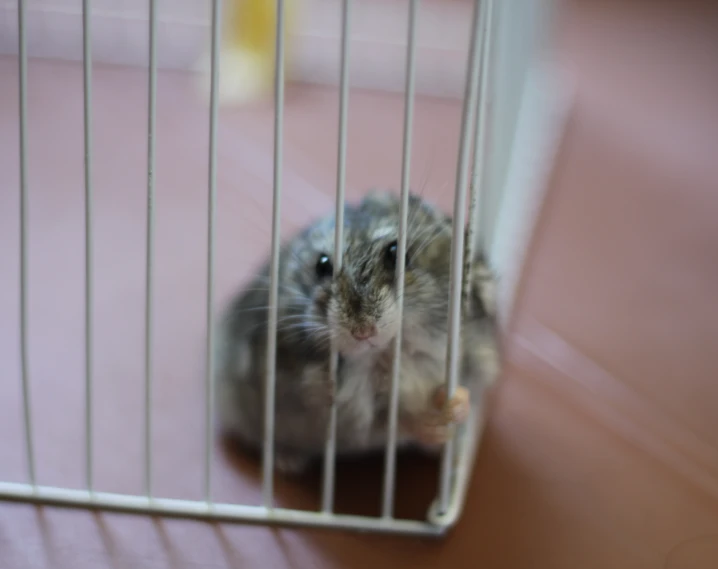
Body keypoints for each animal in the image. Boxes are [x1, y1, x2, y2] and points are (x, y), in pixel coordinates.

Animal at [214, 189, 500, 472]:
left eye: (396, 254)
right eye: (322, 266)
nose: (362, 332)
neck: (394, 352)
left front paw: (456, 405)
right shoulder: (346, 412)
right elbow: (394, 423)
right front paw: (432, 423)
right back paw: (286, 460)